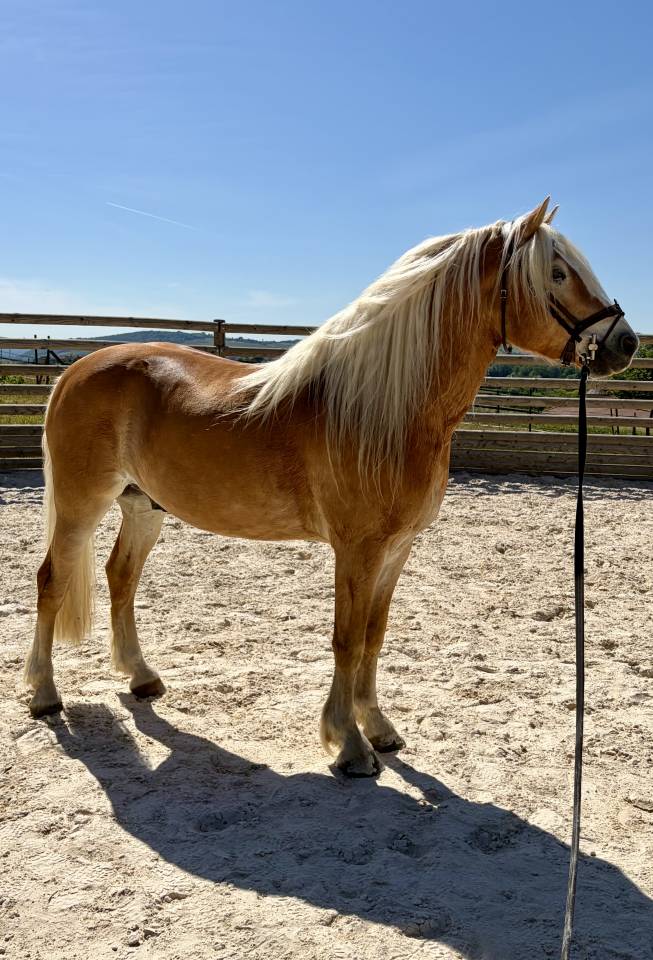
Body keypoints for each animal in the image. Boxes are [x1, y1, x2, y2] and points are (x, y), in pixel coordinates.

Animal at [23, 198, 638, 776]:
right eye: (557, 273)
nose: (626, 343)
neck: (387, 410)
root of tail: (76, 370)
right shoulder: (357, 549)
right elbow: (347, 637)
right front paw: (349, 745)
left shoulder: (396, 549)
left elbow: (374, 633)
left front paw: (379, 727)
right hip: (82, 505)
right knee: (52, 580)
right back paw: (44, 694)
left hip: (144, 508)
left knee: (120, 577)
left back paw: (141, 677)